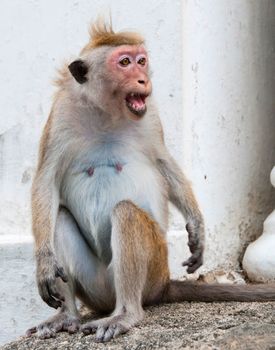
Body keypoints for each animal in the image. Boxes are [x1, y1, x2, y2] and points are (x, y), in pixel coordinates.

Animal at [27, 19, 275, 342]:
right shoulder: (60, 115)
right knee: (60, 217)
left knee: (126, 213)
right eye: (124, 62)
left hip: (154, 268)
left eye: (141, 60)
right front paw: (44, 263)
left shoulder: (151, 115)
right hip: (94, 288)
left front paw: (197, 228)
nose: (143, 79)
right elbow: (46, 182)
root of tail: (164, 285)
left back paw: (125, 314)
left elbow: (163, 163)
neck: (106, 111)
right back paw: (67, 315)